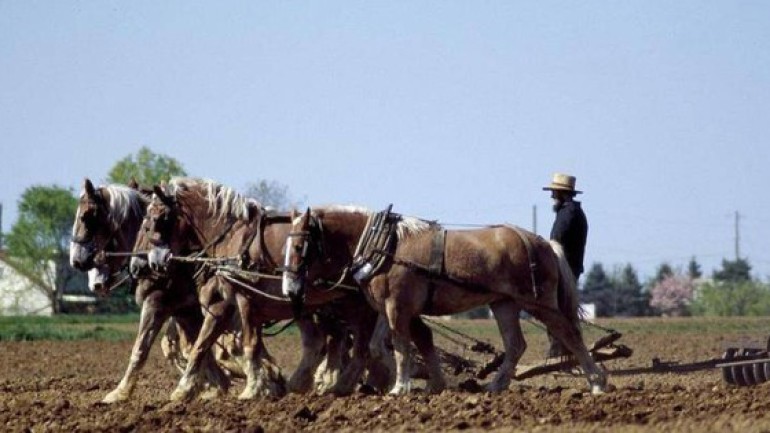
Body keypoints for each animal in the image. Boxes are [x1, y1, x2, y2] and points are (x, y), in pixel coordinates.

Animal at [282, 206, 608, 394]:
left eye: (298, 246)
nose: (289, 288)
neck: (385, 245)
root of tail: (543, 242)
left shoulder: (397, 307)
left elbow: (401, 345)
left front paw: (400, 386)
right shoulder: (386, 309)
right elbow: (378, 346)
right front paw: (401, 381)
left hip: (539, 303)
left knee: (570, 334)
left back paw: (597, 383)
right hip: (504, 304)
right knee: (516, 345)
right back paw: (494, 386)